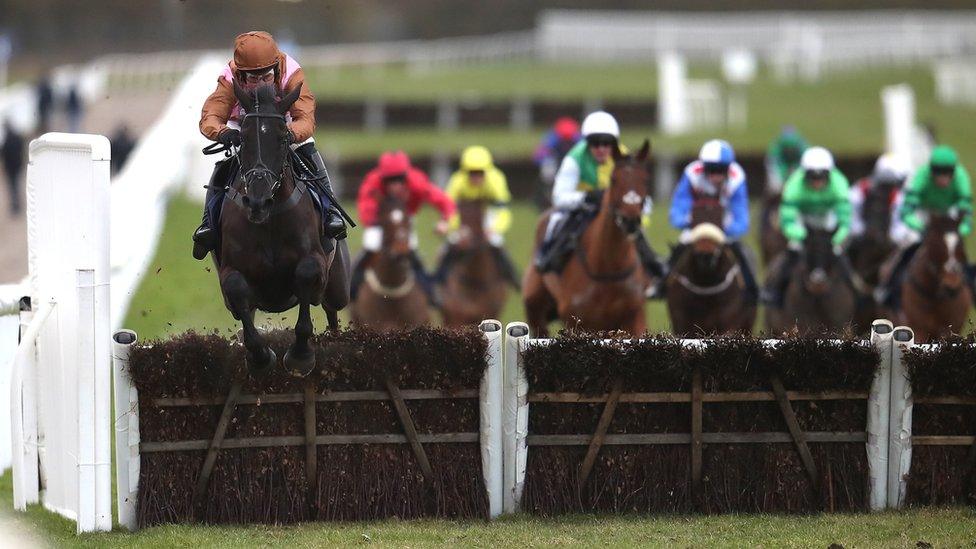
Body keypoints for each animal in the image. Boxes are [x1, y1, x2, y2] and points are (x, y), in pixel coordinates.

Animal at [217, 82, 350, 376]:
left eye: (281, 139)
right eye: (243, 138)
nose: (258, 201)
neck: (269, 221)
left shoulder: (315, 261)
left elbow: (305, 274)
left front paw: (301, 356)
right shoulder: (231, 271)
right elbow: (236, 288)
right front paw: (260, 356)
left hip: (338, 286)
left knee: (333, 309)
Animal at [524, 139, 652, 336]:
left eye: (645, 179)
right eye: (614, 179)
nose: (630, 220)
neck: (607, 268)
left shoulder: (633, 316)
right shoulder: (576, 319)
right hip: (535, 304)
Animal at [896, 214, 972, 342]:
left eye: (960, 246)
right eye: (934, 244)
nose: (951, 285)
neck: (934, 296)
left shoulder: (948, 328)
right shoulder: (918, 328)